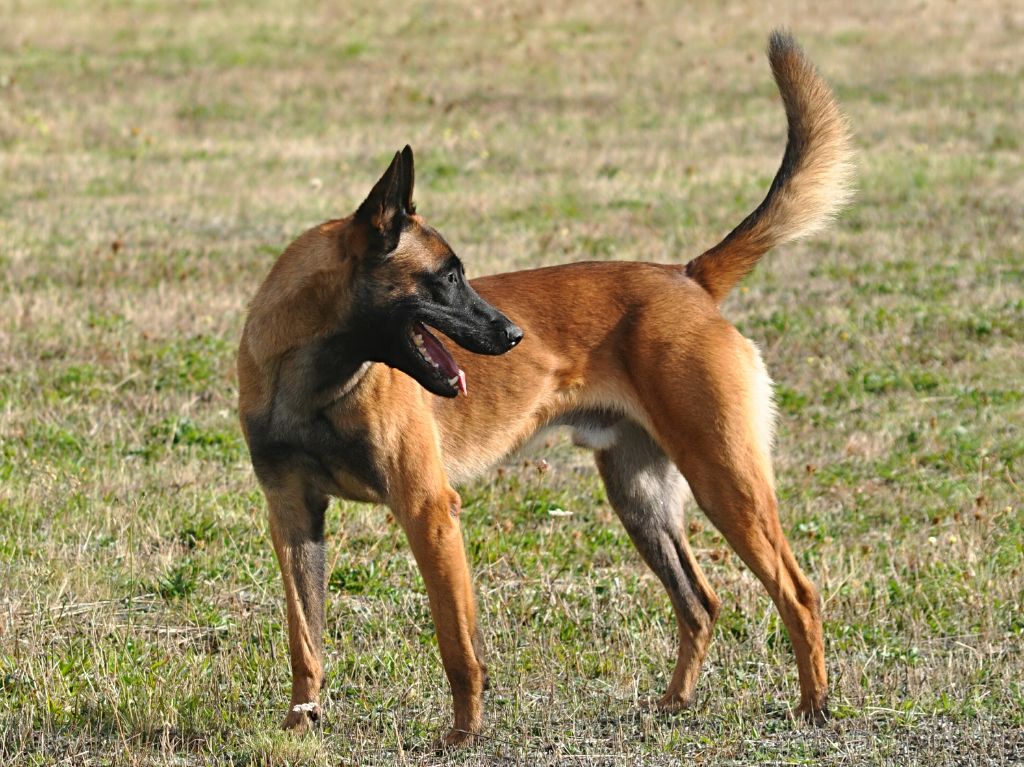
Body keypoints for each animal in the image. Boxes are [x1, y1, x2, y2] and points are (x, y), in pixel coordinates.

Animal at [235, 33, 851, 745]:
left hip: (725, 480)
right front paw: (301, 723)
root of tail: (687, 277)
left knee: (797, 592)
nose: (513, 335)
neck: (312, 383)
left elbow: (457, 645)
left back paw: (815, 706)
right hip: (642, 498)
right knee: (700, 602)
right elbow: (304, 638)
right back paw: (675, 703)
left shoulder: (427, 511)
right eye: (447, 277)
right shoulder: (293, 516)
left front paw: (464, 735)